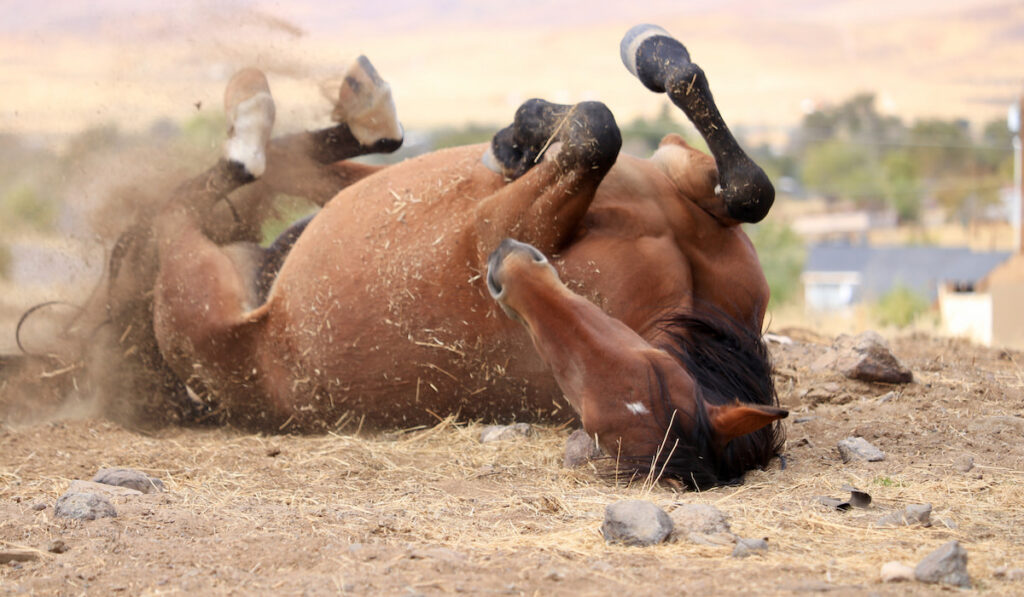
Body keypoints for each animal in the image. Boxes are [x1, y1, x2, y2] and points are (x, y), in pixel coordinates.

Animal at [110, 25, 782, 487]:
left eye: (597, 407)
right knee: (295, 164)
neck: (679, 294)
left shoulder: (495, 225)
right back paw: (367, 106)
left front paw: (530, 130)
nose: (508, 271)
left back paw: (268, 117)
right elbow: (742, 184)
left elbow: (599, 130)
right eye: (651, 366)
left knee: (202, 194)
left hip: (193, 278)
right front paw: (533, 126)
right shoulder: (682, 186)